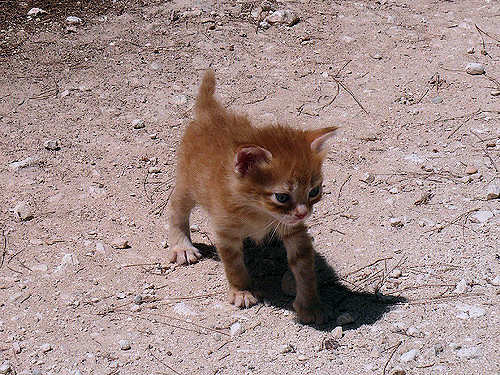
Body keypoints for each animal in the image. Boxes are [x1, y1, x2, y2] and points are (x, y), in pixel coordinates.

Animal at [168, 71, 336, 326]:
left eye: (314, 191)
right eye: (281, 196)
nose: (303, 213)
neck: (258, 211)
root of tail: (212, 113)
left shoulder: (294, 230)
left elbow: (303, 266)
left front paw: (310, 304)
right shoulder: (225, 230)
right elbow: (234, 264)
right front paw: (242, 290)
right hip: (188, 185)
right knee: (176, 208)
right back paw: (182, 246)